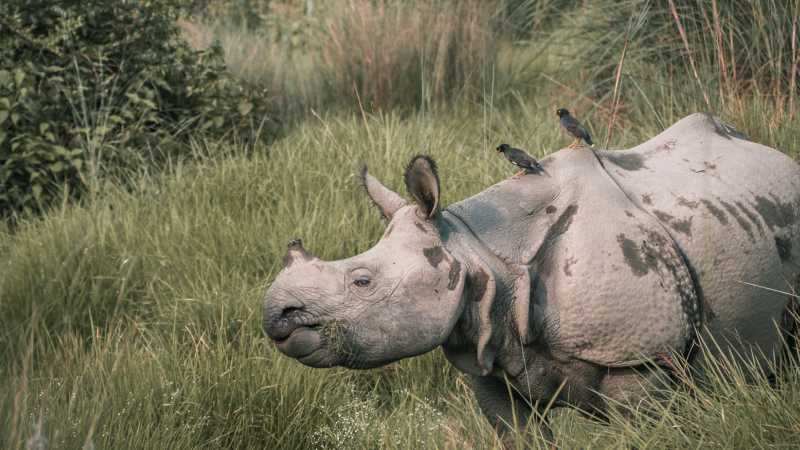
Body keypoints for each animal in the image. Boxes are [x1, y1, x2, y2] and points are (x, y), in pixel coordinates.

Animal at [262, 113, 800, 443]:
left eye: (362, 281)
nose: (275, 315)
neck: (479, 253)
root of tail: (778, 155)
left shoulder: (640, 358)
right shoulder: (488, 355)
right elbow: (519, 432)